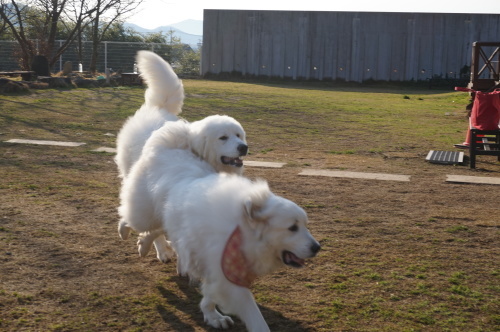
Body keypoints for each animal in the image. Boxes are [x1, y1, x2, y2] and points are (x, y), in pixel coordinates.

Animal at [115, 50, 248, 260]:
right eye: (223, 137)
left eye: (238, 135)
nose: (244, 147)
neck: (193, 147)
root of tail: (157, 107)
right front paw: (150, 244)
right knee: (131, 212)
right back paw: (154, 246)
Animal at [118, 122, 320, 332]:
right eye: (292, 228)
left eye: (305, 226)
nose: (317, 248)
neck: (241, 231)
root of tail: (169, 144)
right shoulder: (229, 279)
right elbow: (255, 317)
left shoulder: (218, 273)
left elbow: (210, 296)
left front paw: (212, 316)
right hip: (145, 213)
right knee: (131, 218)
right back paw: (127, 232)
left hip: (169, 219)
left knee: (159, 230)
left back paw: (146, 245)